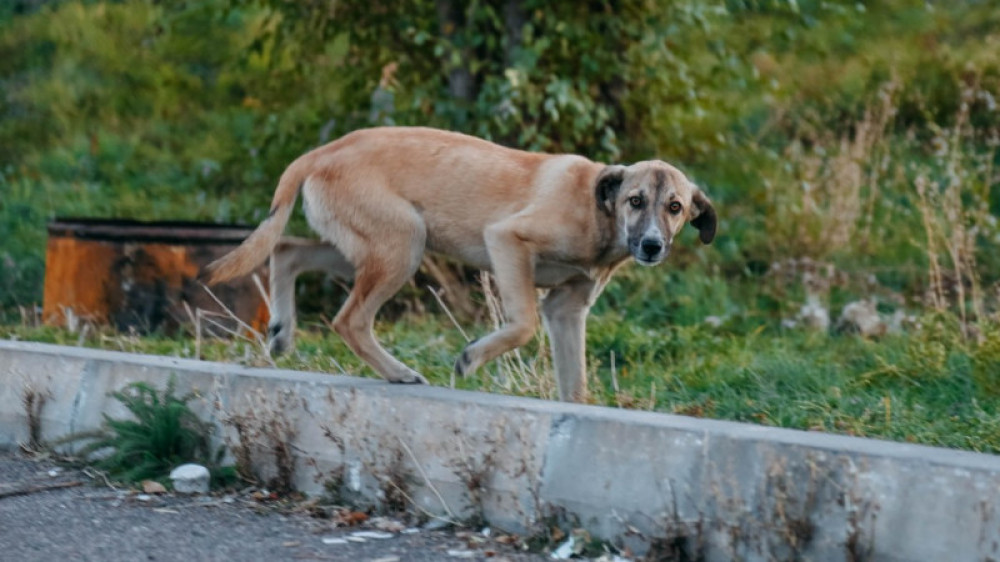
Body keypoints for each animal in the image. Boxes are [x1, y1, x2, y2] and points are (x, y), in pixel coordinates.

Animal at [205, 125, 720, 400]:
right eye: (636, 201)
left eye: (675, 207)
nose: (652, 246)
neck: (599, 210)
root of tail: (325, 150)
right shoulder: (508, 241)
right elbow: (522, 325)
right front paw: (470, 358)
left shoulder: (567, 310)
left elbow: (574, 382)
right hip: (402, 246)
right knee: (349, 320)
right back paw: (398, 372)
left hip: (369, 247)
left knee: (287, 250)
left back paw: (282, 330)